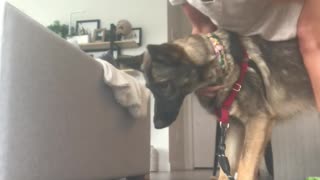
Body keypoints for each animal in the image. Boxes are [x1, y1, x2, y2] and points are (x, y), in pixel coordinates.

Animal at [141, 29, 316, 179]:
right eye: (149, 88)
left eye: (164, 85)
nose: (157, 124)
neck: (222, 61)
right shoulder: (235, 127)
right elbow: (225, 170)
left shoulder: (258, 121)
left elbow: (244, 168)